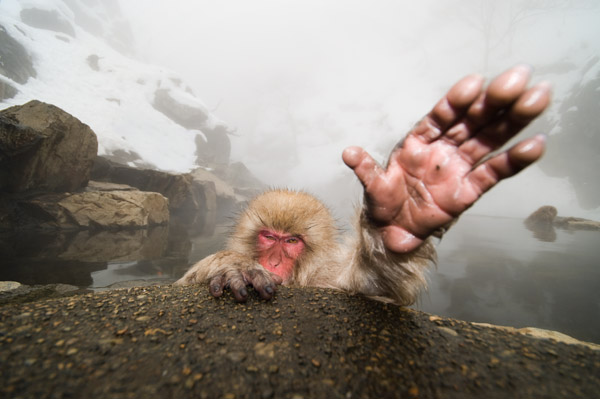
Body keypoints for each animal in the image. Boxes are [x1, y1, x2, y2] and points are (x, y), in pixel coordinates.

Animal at [173, 65, 548, 304]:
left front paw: (406, 213)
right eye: (269, 237)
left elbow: (375, 284)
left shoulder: (332, 279)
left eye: (292, 241)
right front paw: (231, 266)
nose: (274, 263)